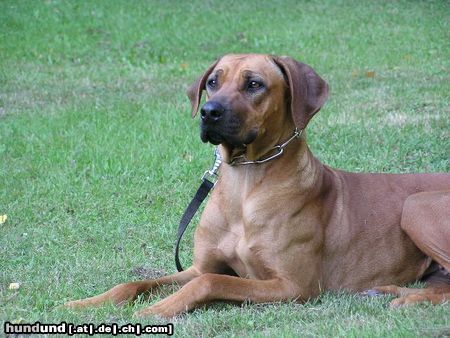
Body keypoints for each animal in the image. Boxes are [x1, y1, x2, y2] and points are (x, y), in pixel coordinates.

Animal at [64, 53, 450, 316]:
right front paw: (85, 303)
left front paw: (158, 309)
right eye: (212, 82)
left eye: (254, 84)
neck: (245, 183)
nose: (209, 112)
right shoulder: (200, 265)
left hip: (417, 205)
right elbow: (135, 282)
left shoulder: (293, 286)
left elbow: (212, 281)